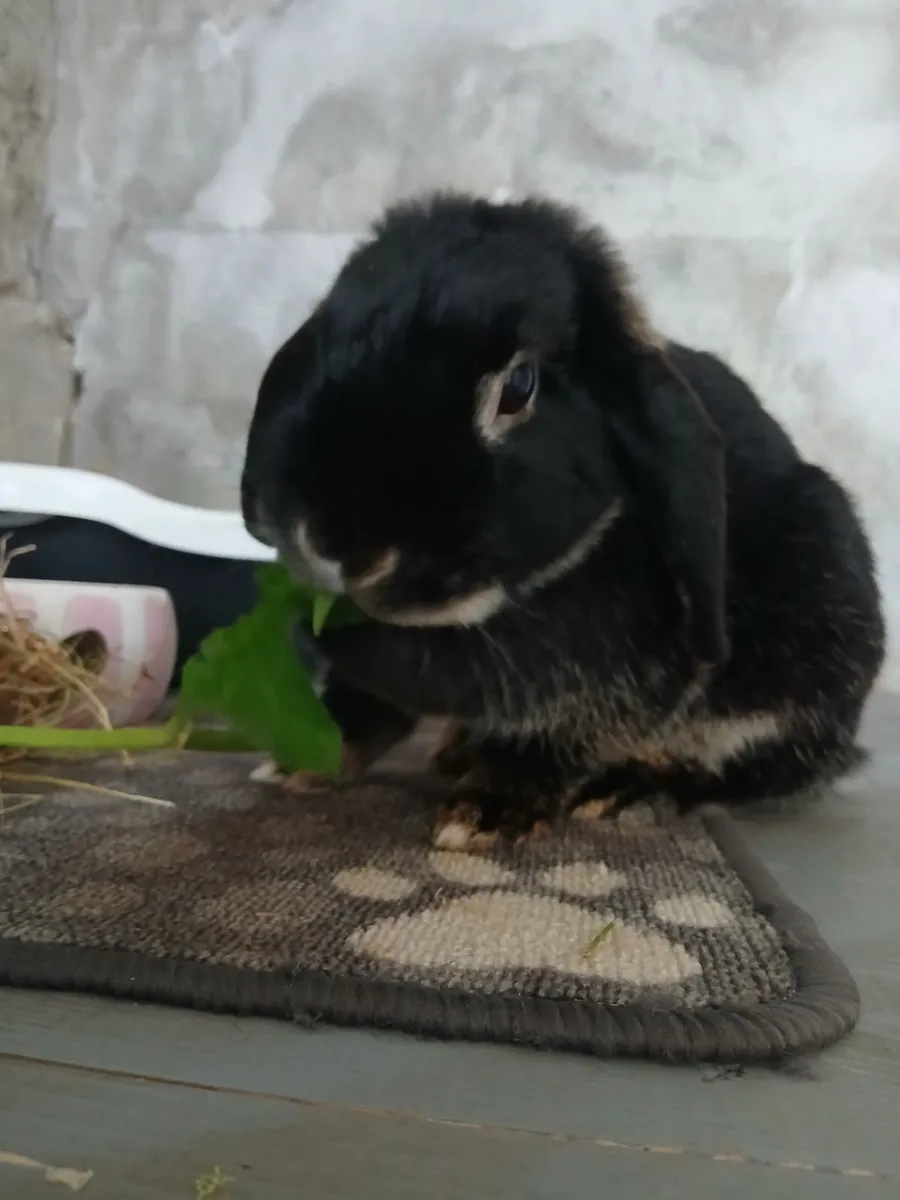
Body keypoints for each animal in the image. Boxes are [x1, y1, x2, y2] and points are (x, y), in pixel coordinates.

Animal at [241, 192, 886, 853]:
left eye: (517, 388)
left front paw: (488, 813)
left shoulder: (610, 684)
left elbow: (559, 737)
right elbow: (362, 707)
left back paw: (629, 791)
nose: (330, 546)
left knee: (743, 766)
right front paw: (300, 763)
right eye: (325, 334)